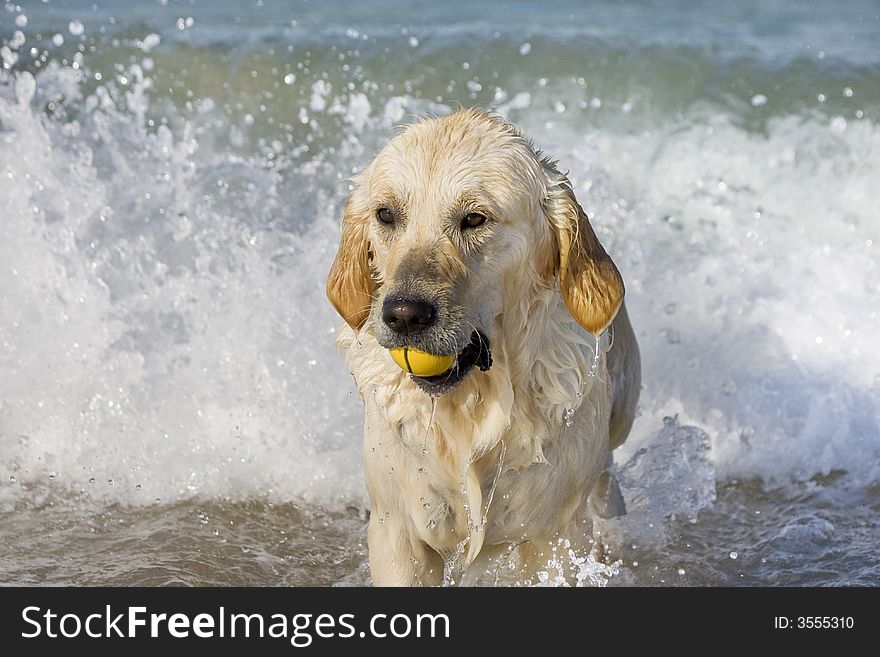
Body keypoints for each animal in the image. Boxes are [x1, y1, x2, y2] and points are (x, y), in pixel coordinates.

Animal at [324, 107, 640, 584]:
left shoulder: (552, 537)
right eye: (386, 214)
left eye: (474, 219)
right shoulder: (397, 529)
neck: (471, 407)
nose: (404, 314)